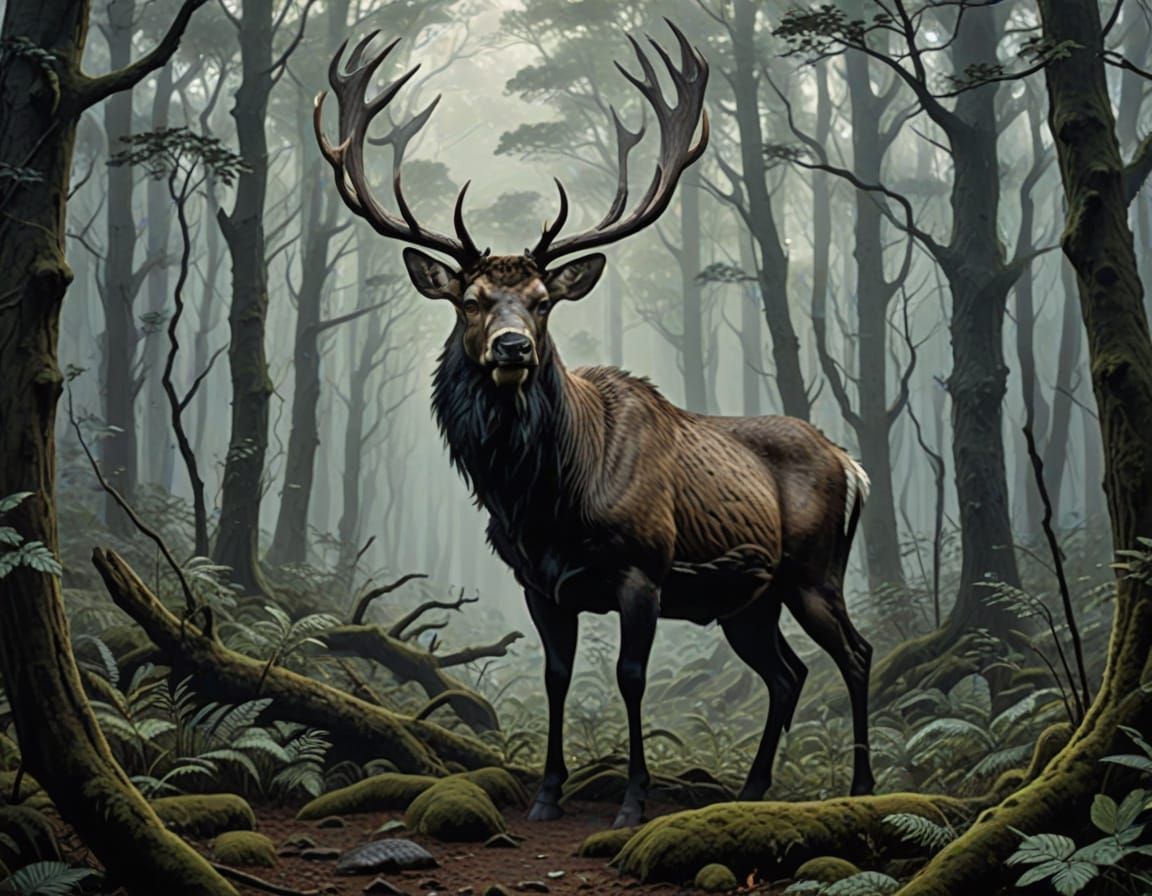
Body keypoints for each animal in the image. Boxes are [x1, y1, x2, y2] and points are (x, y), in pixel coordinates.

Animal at [314, 22, 875, 829]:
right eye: (471, 300)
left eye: (544, 301)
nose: (512, 349)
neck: (547, 499)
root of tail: (851, 464)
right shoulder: (538, 583)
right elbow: (556, 675)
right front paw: (547, 793)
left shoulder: (644, 566)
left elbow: (630, 676)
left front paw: (633, 800)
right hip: (750, 599)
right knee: (788, 673)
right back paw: (751, 788)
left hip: (813, 569)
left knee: (855, 654)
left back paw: (863, 784)